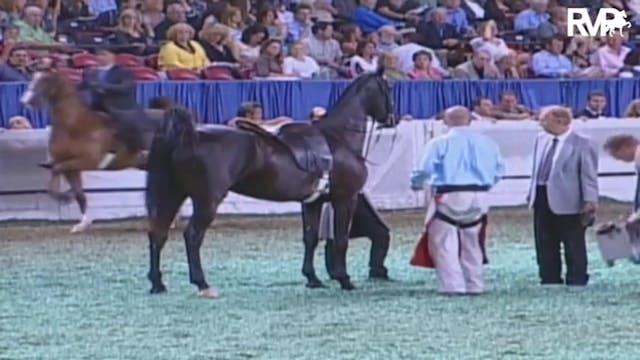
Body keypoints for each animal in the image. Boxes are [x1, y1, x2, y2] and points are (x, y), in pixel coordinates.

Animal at [20, 71, 165, 233]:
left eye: (45, 80)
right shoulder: (71, 168)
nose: (25, 100)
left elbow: (57, 172)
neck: (76, 125)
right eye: (33, 78)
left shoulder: (85, 161)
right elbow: (77, 193)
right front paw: (82, 224)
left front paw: (65, 197)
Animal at [146, 68, 396, 298]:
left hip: (173, 193)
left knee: (158, 233)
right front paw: (345, 279)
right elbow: (342, 239)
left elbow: (310, 238)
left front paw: (312, 278)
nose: (392, 118)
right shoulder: (345, 199)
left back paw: (158, 283)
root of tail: (190, 133)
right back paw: (202, 284)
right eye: (387, 88)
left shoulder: (313, 202)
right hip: (207, 201)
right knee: (192, 236)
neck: (338, 139)